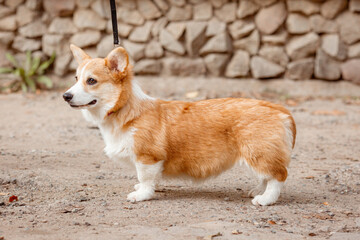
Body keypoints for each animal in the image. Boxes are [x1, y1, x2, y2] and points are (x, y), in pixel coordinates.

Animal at [64, 45, 296, 206]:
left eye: (91, 81)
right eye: (75, 78)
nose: (65, 96)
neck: (125, 110)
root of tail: (279, 110)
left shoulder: (147, 157)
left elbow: (146, 179)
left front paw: (141, 194)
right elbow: (148, 178)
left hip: (257, 152)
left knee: (279, 176)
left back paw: (265, 199)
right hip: (259, 154)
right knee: (266, 176)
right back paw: (258, 191)